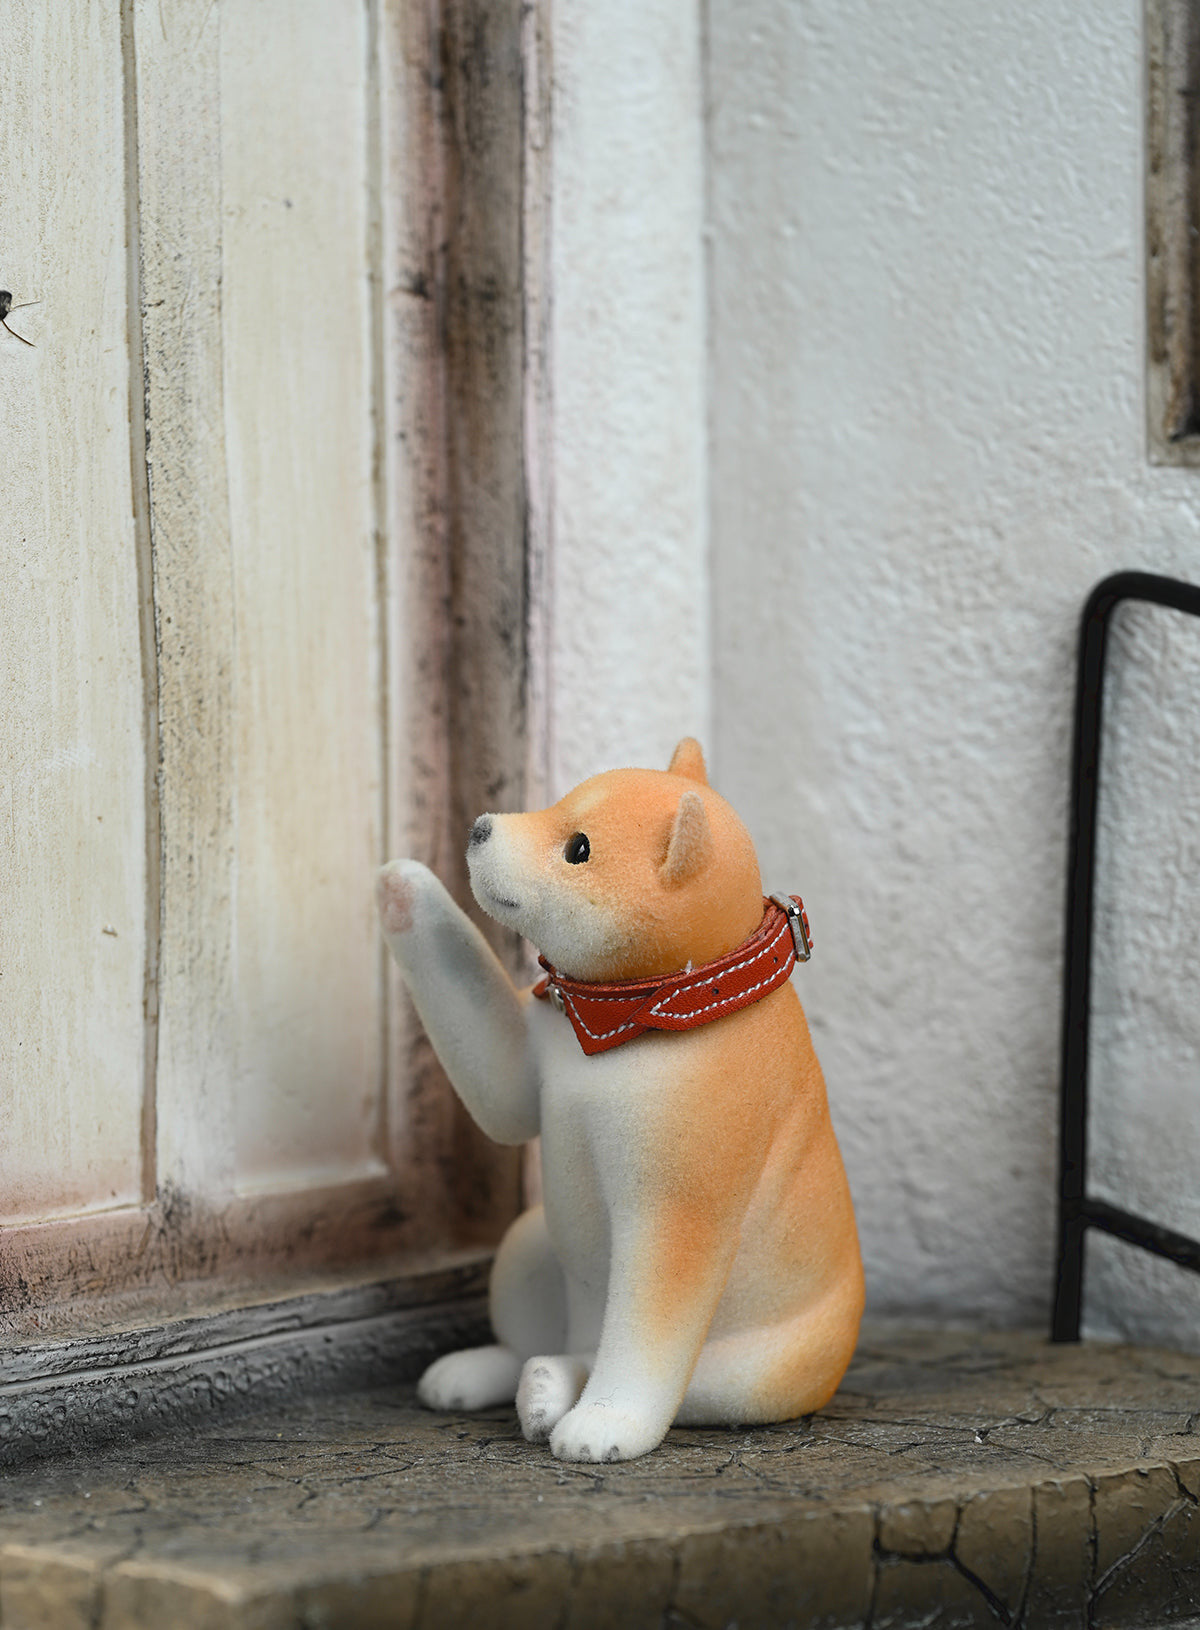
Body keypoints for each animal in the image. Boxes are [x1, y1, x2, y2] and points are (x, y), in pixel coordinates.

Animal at [376, 740, 860, 1467]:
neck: (632, 1014)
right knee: (540, 1341)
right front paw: (406, 885)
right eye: (557, 803)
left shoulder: (674, 1214)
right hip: (528, 1241)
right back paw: (496, 1375)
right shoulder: (527, 1068)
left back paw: (557, 1393)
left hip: (763, 1370)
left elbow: (644, 1335)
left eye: (578, 849)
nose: (480, 827)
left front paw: (606, 1423)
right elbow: (498, 1088)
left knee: (674, 1379)